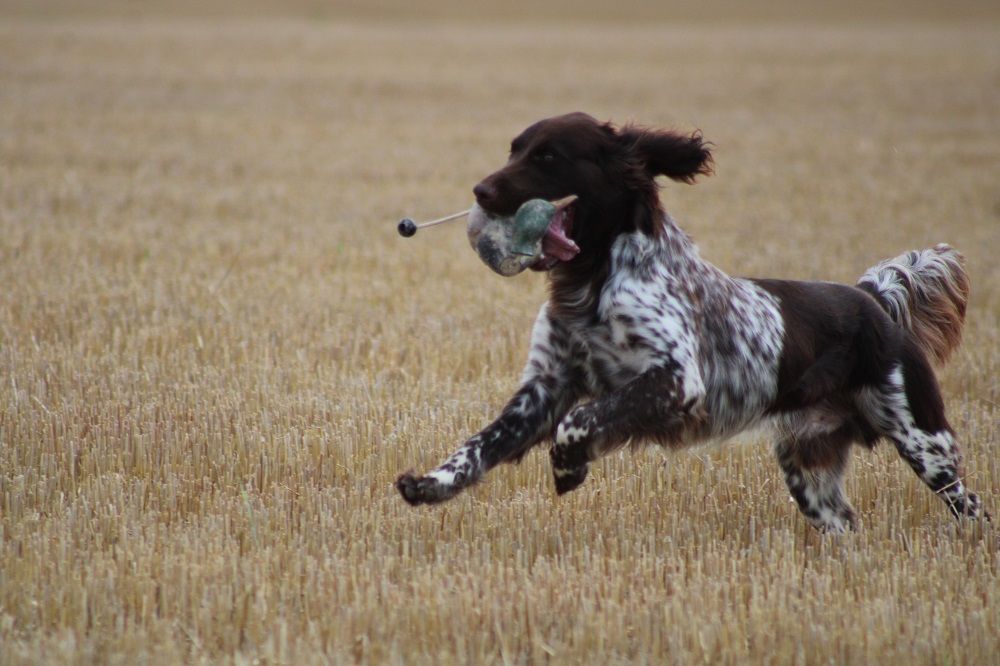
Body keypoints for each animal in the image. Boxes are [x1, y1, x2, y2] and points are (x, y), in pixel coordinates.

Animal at [396, 113, 984, 528]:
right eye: (514, 149)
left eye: (548, 155)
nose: (481, 191)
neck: (592, 283)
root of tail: (871, 299)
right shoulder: (544, 387)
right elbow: (479, 445)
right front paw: (432, 483)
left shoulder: (677, 379)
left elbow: (581, 420)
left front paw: (568, 466)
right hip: (808, 468)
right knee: (844, 523)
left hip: (924, 440)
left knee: (970, 504)